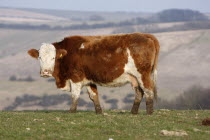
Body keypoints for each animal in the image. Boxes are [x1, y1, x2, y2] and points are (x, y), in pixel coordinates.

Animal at [27, 33, 159, 115]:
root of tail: (145, 35)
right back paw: (133, 112)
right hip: (134, 78)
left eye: (53, 58)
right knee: (139, 92)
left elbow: (75, 95)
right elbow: (94, 96)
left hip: (143, 74)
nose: (45, 72)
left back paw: (149, 113)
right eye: (39, 57)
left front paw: (71, 111)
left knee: (148, 91)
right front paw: (99, 112)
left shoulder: (76, 77)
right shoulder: (89, 80)